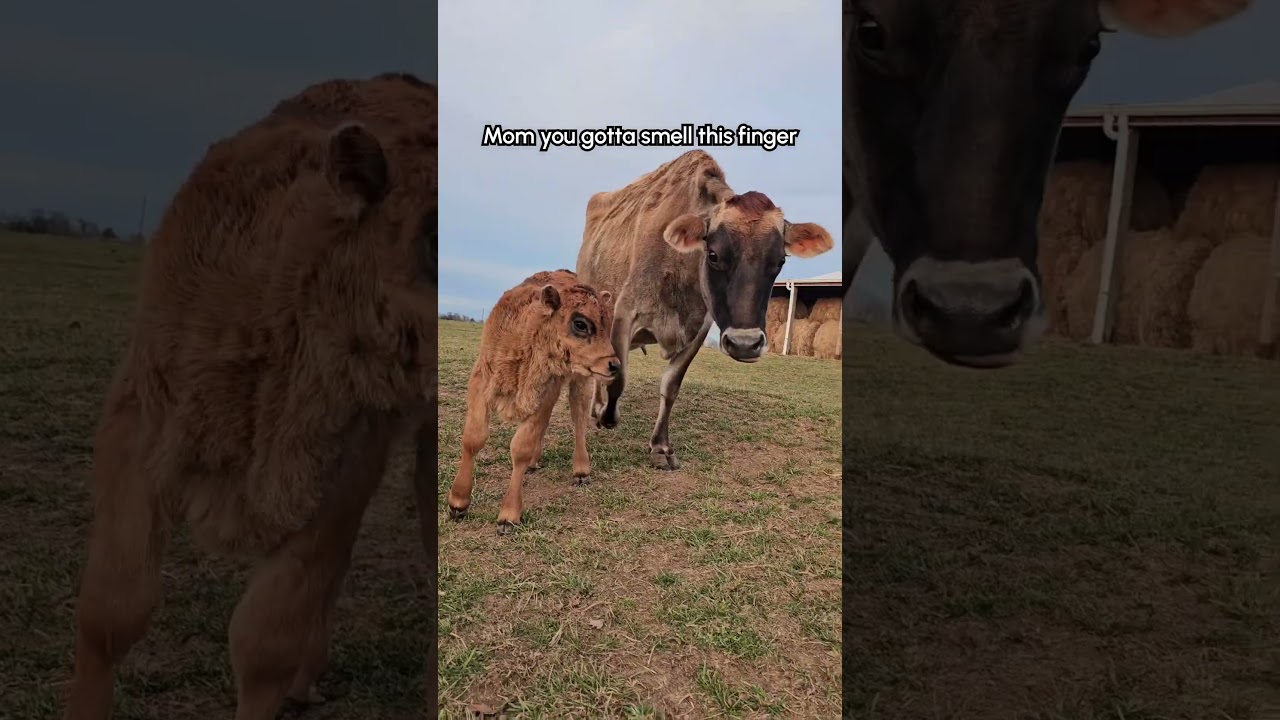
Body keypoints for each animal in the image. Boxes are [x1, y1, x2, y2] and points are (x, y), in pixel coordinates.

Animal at [446, 270, 619, 535]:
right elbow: (473, 438)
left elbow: (520, 448)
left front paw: (508, 516)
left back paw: (581, 470)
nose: (613, 365)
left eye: (607, 324)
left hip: (580, 382)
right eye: (580, 323)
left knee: (578, 419)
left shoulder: (546, 392)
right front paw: (458, 503)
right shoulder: (481, 382)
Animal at [576, 150, 834, 471]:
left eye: (780, 261)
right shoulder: (625, 313)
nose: (746, 344)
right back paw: (595, 410)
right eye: (713, 254)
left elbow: (671, 385)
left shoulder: (700, 327)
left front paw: (660, 447)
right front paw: (607, 416)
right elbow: (618, 378)